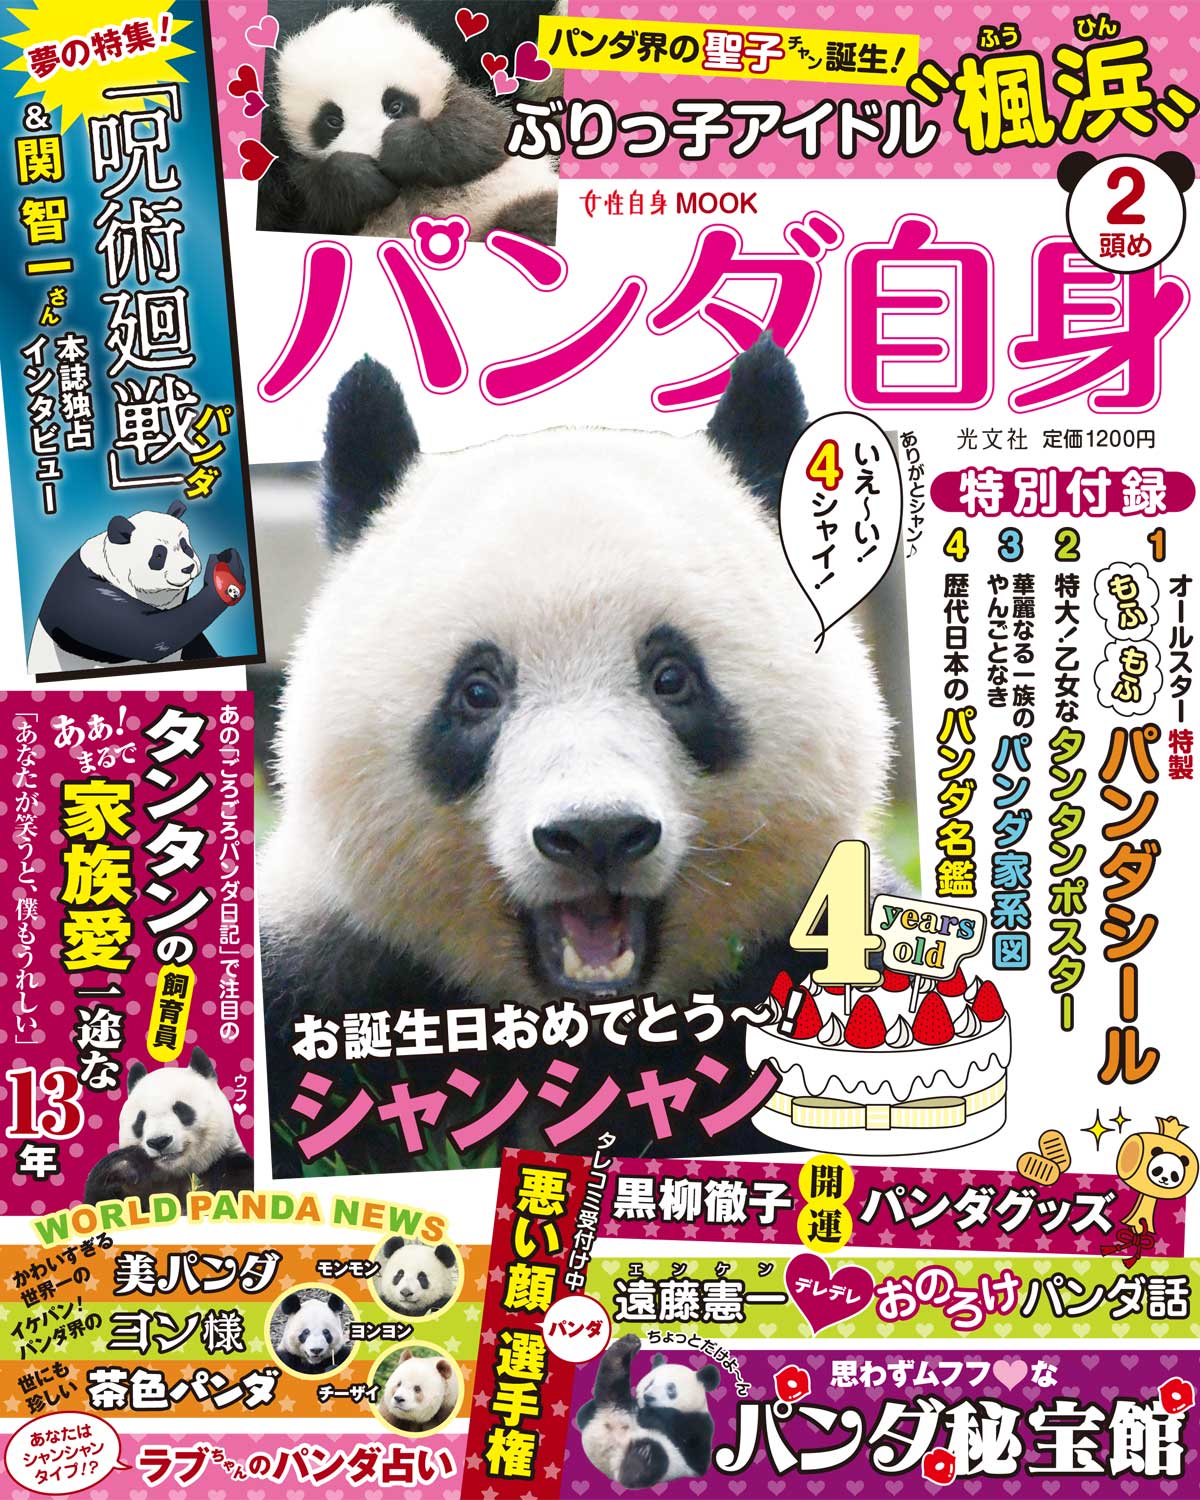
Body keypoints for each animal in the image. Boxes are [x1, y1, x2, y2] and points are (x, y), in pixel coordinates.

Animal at [27, 500, 246, 675]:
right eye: (159, 555)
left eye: (185, 546)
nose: (188, 568)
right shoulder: (85, 599)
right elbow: (152, 635)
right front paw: (228, 571)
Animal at [262, 2, 558, 242]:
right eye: (332, 120)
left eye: (395, 105)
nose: (374, 152)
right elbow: (304, 209)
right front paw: (356, 176)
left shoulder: (465, 101)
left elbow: (477, 138)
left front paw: (400, 148)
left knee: (536, 217)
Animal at [576, 1335, 720, 1488]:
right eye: (650, 1383)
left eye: (671, 1388)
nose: (648, 1397)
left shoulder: (700, 1425)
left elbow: (695, 1452)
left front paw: (649, 1416)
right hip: (615, 1408)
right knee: (609, 1389)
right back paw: (624, 1348)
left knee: (656, 1457)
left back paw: (639, 1461)